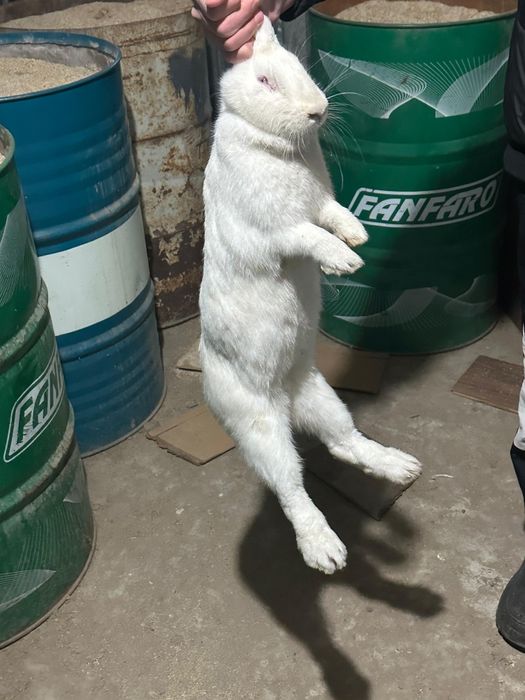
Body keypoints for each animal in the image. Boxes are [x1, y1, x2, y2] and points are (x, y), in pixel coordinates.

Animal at [199, 17, 422, 574]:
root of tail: (286, 396)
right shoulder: (276, 231)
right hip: (258, 427)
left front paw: (358, 237)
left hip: (323, 397)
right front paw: (345, 261)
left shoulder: (321, 204)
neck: (277, 146)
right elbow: (308, 237)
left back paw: (401, 467)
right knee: (291, 488)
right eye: (265, 82)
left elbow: (335, 216)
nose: (317, 111)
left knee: (344, 444)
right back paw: (326, 552)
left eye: (299, 68)